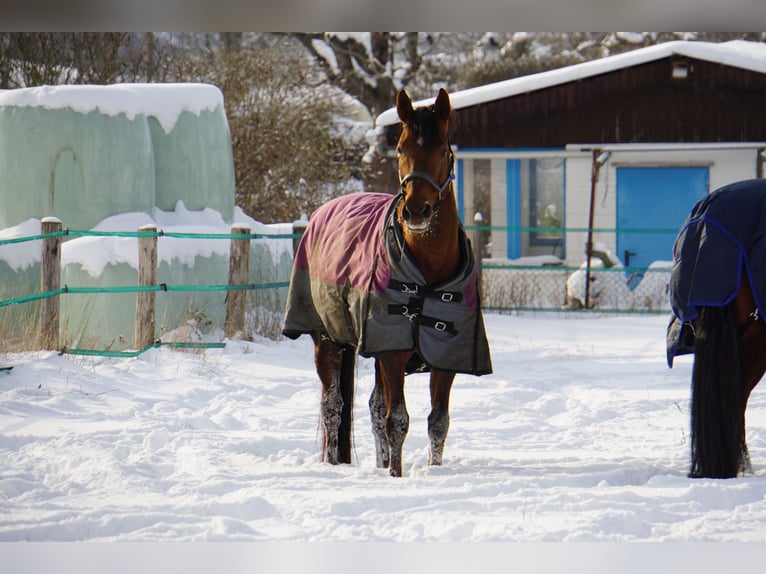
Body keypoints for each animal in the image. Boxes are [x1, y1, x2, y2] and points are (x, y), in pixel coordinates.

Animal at [282, 88, 492, 477]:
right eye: (400, 149)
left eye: (443, 150)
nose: (416, 211)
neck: (428, 273)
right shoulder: (392, 352)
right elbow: (397, 420)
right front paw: (396, 476)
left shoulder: (445, 355)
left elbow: (437, 422)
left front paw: (430, 470)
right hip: (327, 340)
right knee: (333, 405)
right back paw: (334, 464)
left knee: (373, 406)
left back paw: (379, 464)